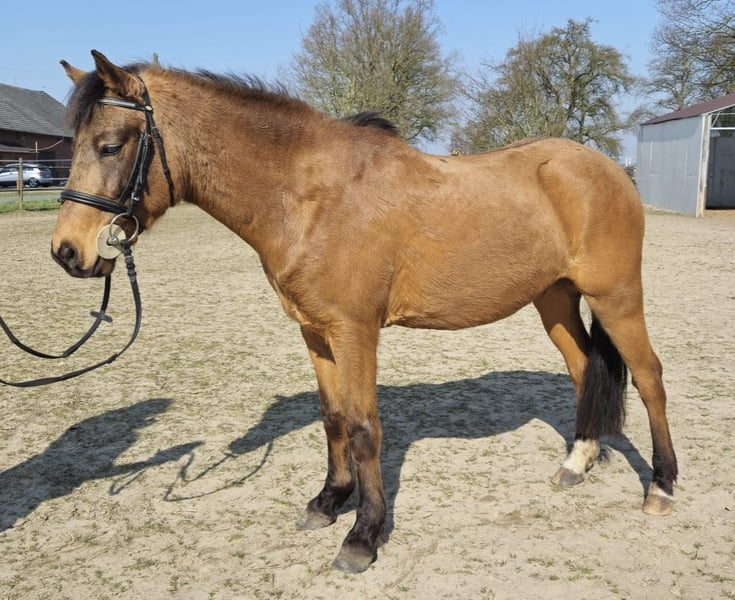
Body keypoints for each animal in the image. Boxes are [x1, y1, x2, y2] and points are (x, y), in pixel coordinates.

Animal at [51, 50, 677, 574]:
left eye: (111, 145)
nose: (67, 252)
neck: (309, 198)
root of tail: (608, 168)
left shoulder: (356, 333)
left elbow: (363, 427)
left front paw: (364, 535)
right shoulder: (315, 332)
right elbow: (333, 419)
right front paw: (329, 501)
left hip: (618, 298)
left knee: (649, 378)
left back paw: (662, 486)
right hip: (555, 299)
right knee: (583, 370)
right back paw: (578, 462)